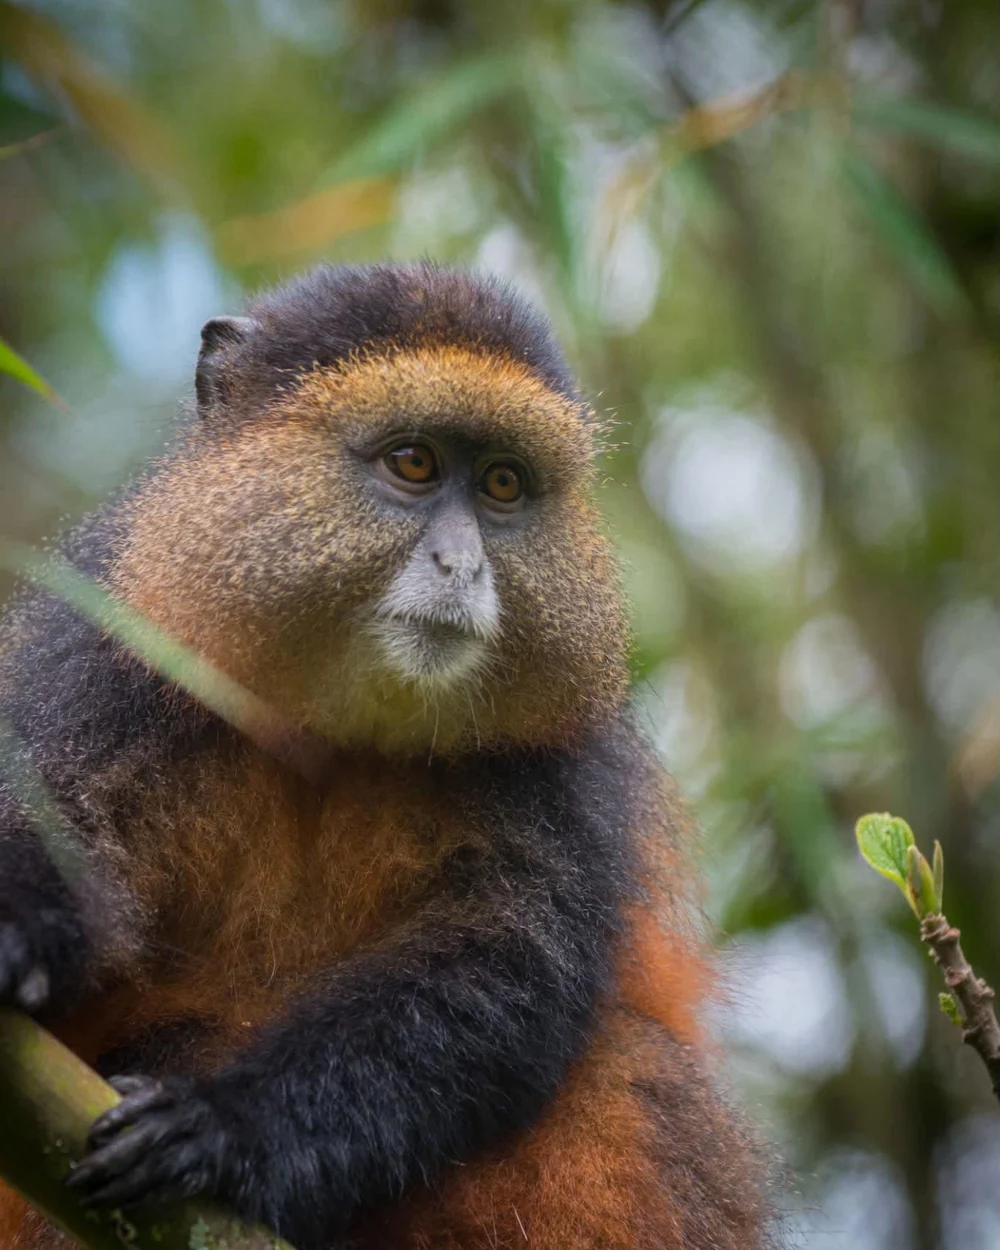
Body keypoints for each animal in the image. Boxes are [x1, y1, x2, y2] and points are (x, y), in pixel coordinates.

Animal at [0, 263, 772, 1250]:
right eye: (414, 465)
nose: (463, 567)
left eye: (503, 485)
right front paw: (12, 930)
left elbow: (502, 970)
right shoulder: (113, 646)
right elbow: (56, 827)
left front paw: (225, 1130)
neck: (325, 728)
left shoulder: (559, 762)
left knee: (628, 1071)